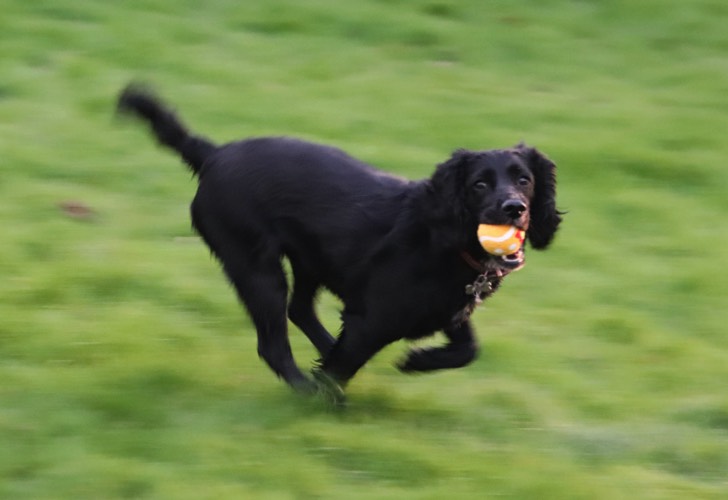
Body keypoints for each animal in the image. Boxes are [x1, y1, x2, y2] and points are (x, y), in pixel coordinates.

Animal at [116, 85, 560, 402]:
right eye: (480, 184)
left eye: (524, 179)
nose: (515, 209)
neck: (442, 239)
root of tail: (213, 153)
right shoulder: (373, 318)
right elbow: (343, 366)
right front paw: (326, 390)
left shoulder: (448, 309)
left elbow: (469, 348)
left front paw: (417, 361)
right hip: (256, 267)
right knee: (273, 343)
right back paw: (305, 389)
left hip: (308, 259)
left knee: (299, 311)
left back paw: (325, 349)